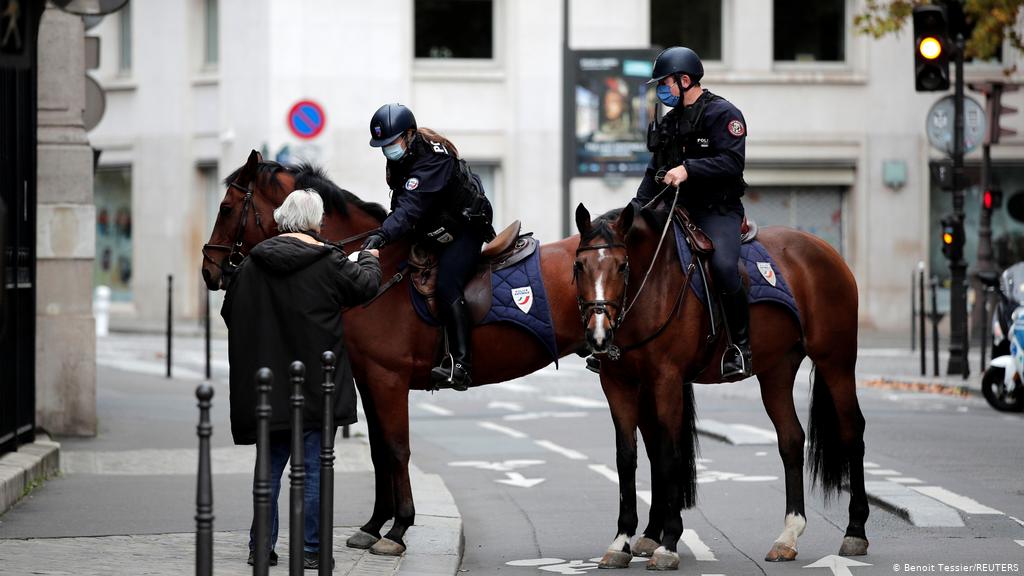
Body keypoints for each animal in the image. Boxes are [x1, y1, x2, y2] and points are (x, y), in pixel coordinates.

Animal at [198, 150, 589, 553]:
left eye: (225, 207)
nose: (208, 269)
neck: (377, 271)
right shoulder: (369, 381)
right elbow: (378, 451)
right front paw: (374, 524)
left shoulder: (389, 380)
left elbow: (398, 448)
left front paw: (399, 527)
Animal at [573, 199, 868, 565]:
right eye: (579, 266)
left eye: (622, 266)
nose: (598, 334)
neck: (654, 284)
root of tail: (827, 250)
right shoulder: (619, 383)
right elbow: (628, 457)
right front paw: (622, 541)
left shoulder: (667, 380)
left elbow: (669, 454)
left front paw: (668, 543)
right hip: (777, 370)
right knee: (791, 439)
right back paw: (788, 535)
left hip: (836, 360)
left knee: (852, 431)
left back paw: (855, 531)